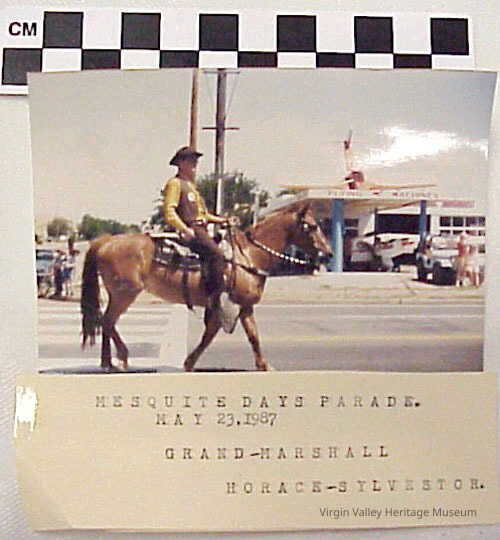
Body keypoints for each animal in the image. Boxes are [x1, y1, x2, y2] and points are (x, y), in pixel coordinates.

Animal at [80, 203, 332, 372]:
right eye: (312, 226)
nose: (328, 253)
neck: (249, 255)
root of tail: (106, 241)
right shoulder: (227, 304)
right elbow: (210, 335)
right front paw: (189, 362)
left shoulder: (244, 307)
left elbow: (252, 336)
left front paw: (263, 365)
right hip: (125, 293)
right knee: (107, 321)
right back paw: (120, 358)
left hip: (119, 294)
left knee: (106, 322)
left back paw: (107, 362)